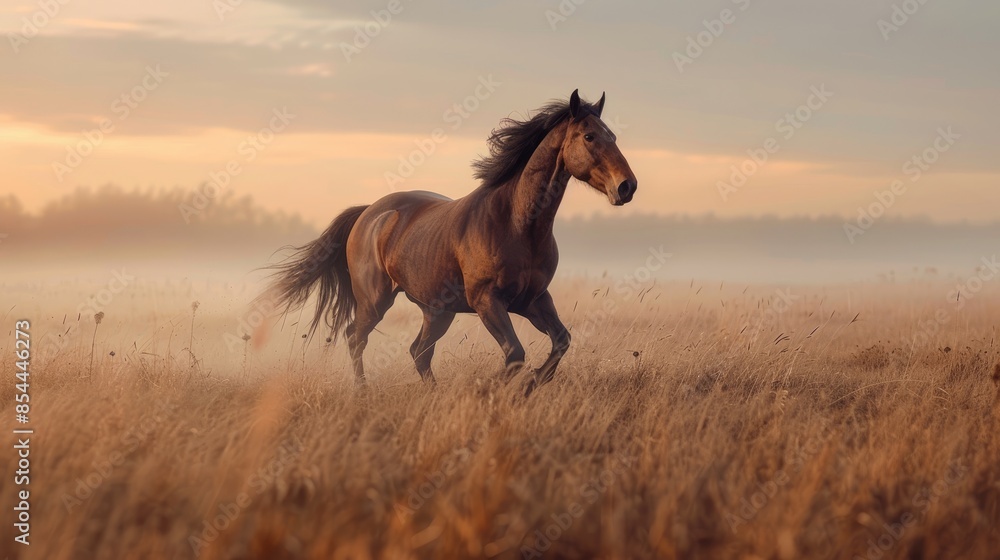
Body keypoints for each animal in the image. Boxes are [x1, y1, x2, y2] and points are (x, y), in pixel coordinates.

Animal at [264, 90, 637, 395]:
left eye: (613, 136)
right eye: (589, 136)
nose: (627, 186)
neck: (517, 224)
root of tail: (368, 213)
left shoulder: (533, 299)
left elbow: (560, 342)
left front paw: (530, 384)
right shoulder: (488, 301)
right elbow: (515, 354)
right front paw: (491, 388)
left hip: (437, 311)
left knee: (418, 352)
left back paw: (434, 394)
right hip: (375, 301)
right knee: (356, 338)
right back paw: (363, 391)